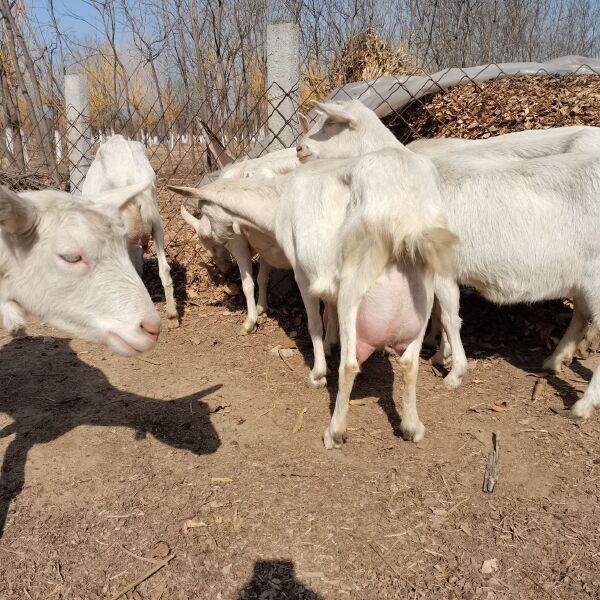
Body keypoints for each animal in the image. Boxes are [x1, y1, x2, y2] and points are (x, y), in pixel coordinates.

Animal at [166, 148, 458, 446]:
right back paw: (412, 427)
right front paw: (330, 344)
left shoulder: (302, 272)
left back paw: (335, 431)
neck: (278, 198)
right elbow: (328, 311)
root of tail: (405, 218)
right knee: (411, 362)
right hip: (422, 294)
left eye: (204, 210)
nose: (220, 237)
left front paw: (317, 372)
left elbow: (314, 323)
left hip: (356, 286)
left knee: (350, 365)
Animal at [298, 98, 600, 420]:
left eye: (332, 123)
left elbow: (449, 317)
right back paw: (554, 361)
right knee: (581, 315)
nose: (300, 149)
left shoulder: (442, 270)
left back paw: (582, 404)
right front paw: (440, 355)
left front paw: (454, 371)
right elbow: (439, 314)